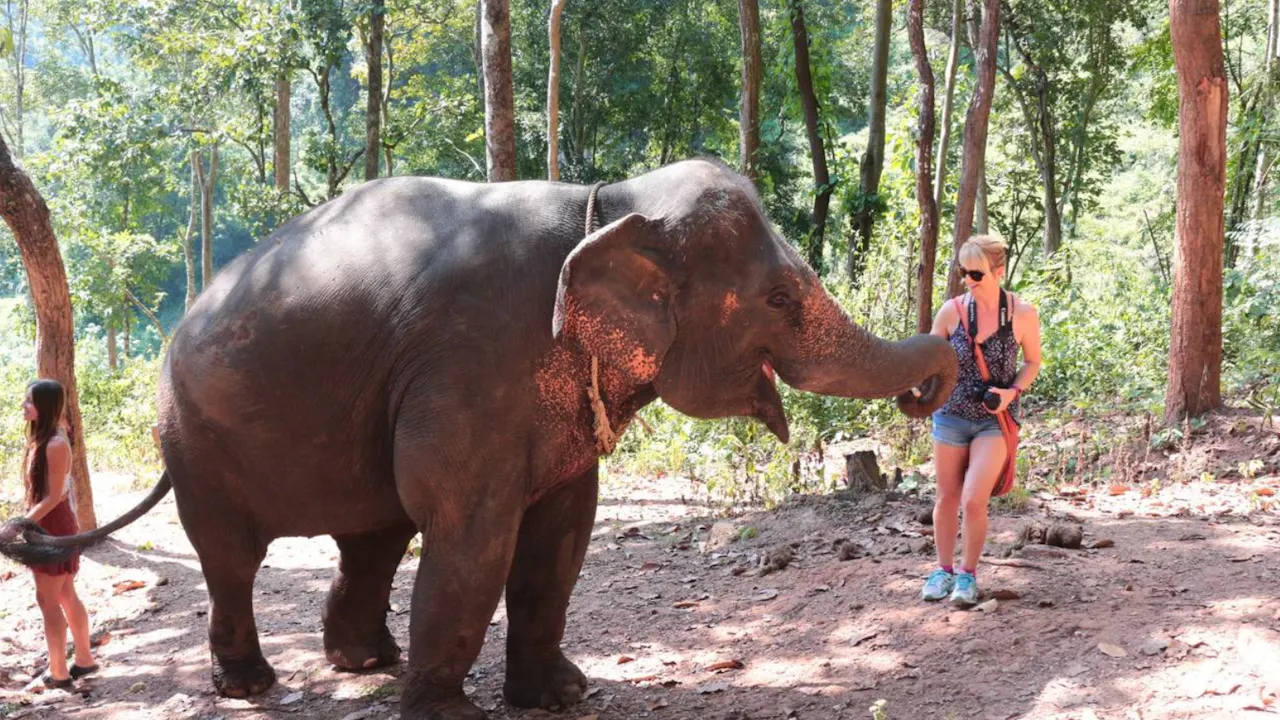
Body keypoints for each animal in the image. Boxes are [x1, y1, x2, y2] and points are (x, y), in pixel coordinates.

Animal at [2, 158, 957, 720]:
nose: (931, 386)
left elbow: (561, 536)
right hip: (196, 436)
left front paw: (562, 696)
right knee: (235, 555)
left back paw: (367, 660)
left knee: (376, 534)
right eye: (779, 300)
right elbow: (474, 533)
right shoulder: (473, 358)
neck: (605, 201)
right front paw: (453, 715)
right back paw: (252, 685)